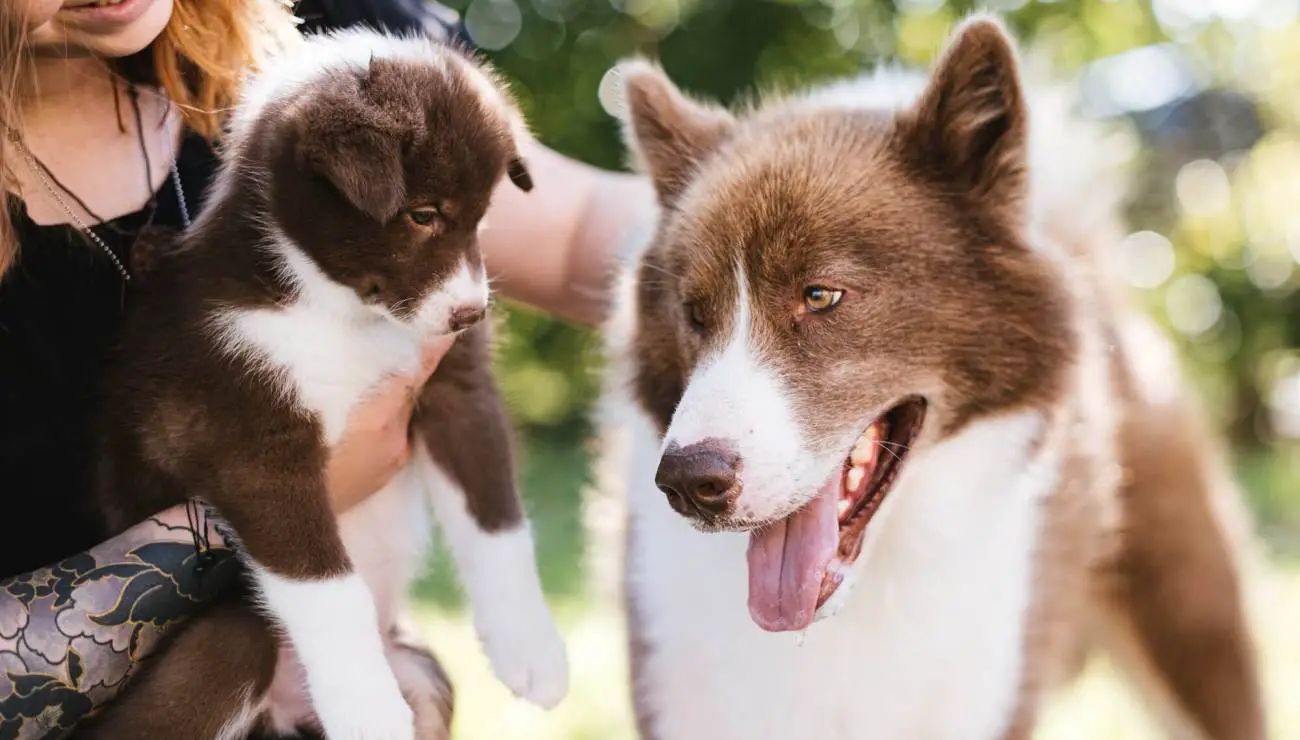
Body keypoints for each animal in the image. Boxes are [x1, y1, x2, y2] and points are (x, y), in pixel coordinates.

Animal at [81, 27, 566, 738]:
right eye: (423, 214)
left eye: (481, 217)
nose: (471, 314)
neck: (337, 309)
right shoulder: (252, 439)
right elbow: (330, 592)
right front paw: (369, 711)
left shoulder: (456, 387)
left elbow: (496, 515)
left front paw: (532, 651)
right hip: (231, 640)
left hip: (425, 675)